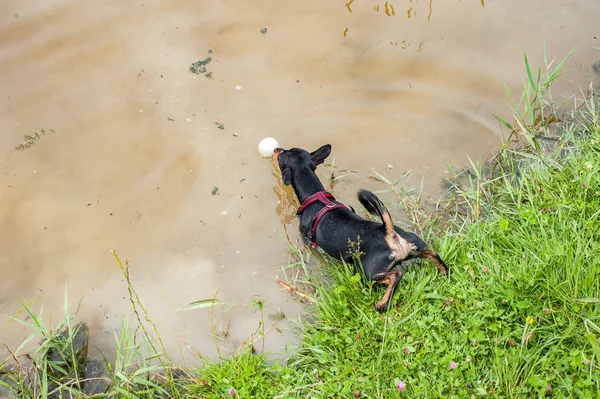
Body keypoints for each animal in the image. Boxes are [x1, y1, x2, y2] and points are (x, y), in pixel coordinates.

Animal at [274, 144, 448, 312]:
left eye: (282, 154)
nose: (277, 149)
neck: (316, 196)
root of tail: (390, 234)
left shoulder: (308, 240)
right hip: (416, 247)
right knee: (433, 253)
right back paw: (445, 273)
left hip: (366, 272)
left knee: (396, 275)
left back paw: (382, 303)